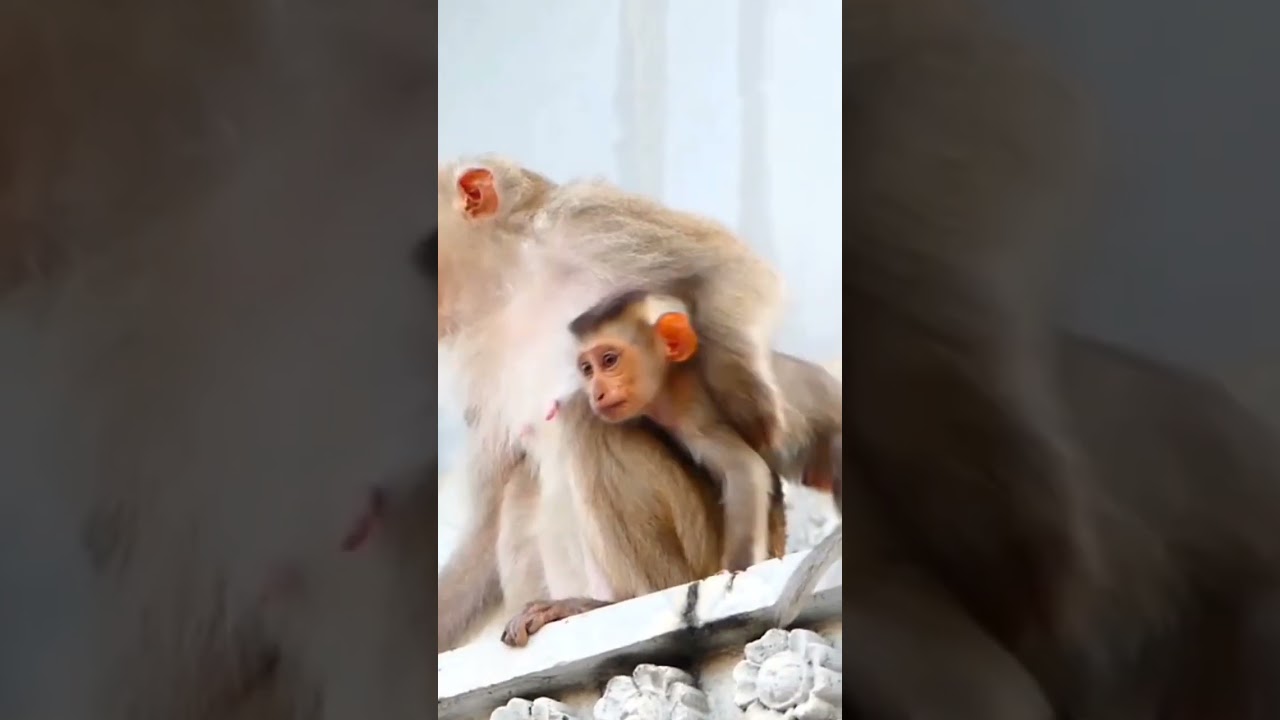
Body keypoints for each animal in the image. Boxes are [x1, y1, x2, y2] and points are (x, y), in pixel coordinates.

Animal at [566, 289, 776, 572]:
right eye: (587, 369)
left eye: (609, 360)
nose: (596, 394)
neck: (670, 381)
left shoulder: (690, 413)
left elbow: (744, 468)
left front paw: (737, 568)